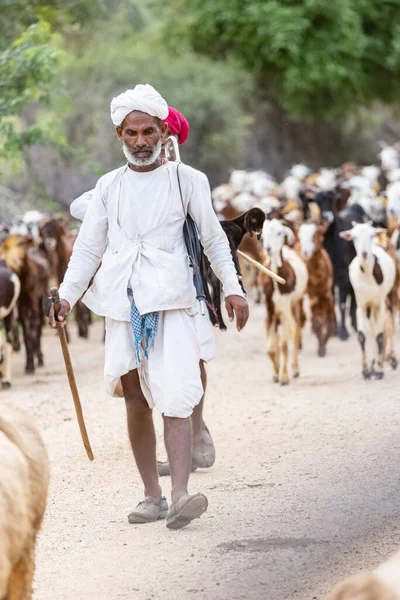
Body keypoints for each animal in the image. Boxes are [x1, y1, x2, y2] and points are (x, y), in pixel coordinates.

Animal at [258, 219, 308, 384]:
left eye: (280, 233)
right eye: (264, 233)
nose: (268, 248)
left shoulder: (285, 307)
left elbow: (284, 344)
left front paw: (284, 376)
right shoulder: (269, 309)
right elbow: (271, 348)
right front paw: (276, 372)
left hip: (296, 301)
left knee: (297, 327)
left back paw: (295, 369)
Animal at [340, 220, 396, 380]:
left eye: (371, 235)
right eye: (353, 237)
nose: (364, 253)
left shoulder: (380, 304)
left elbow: (380, 335)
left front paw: (379, 370)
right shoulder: (361, 304)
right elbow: (362, 336)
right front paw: (366, 370)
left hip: (388, 298)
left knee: (389, 325)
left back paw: (390, 360)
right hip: (369, 307)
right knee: (372, 329)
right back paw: (374, 364)